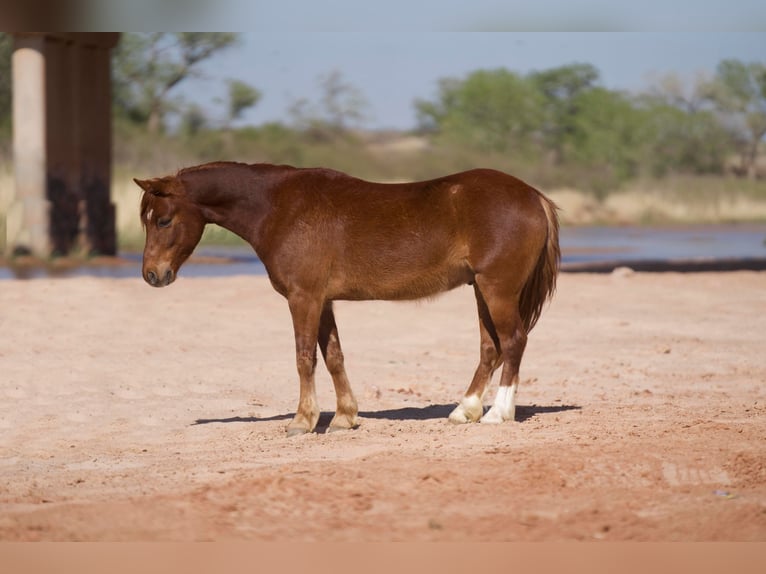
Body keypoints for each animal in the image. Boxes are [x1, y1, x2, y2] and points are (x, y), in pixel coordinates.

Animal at [135, 161, 560, 436]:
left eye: (164, 220)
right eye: (147, 220)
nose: (152, 275)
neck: (280, 207)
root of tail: (533, 196)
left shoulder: (303, 298)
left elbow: (305, 357)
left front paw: (302, 421)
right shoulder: (323, 301)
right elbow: (333, 357)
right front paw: (343, 418)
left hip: (497, 289)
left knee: (513, 341)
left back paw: (497, 414)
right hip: (481, 291)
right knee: (491, 347)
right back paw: (464, 411)